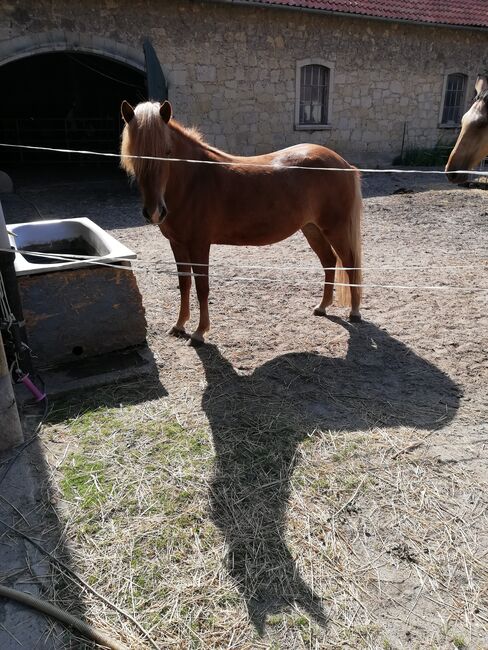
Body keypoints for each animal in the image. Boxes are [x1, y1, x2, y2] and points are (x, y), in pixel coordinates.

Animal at [119, 101, 360, 344]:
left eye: (167, 152)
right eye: (135, 154)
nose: (154, 212)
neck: (193, 179)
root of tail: (343, 164)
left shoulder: (199, 245)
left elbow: (202, 287)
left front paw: (199, 332)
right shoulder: (177, 243)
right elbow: (184, 284)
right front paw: (179, 325)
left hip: (335, 228)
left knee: (349, 262)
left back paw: (355, 312)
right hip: (311, 229)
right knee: (329, 261)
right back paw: (322, 307)